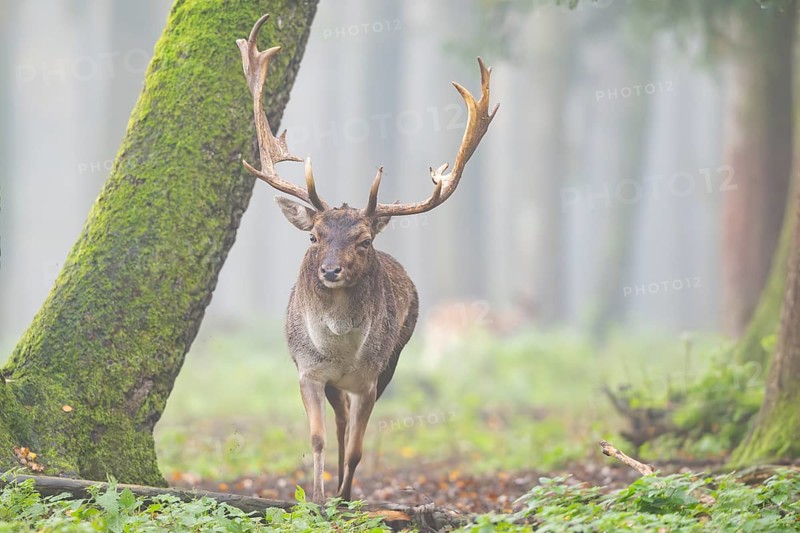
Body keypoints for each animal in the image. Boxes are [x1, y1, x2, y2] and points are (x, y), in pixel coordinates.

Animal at [237, 14, 498, 502]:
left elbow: (359, 447)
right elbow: (318, 437)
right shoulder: (307, 370)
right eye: (315, 236)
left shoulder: (372, 378)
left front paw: (342, 497)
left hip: (398, 354)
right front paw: (317, 498)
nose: (330, 270)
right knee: (338, 422)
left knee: (350, 426)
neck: (339, 350)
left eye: (362, 241)